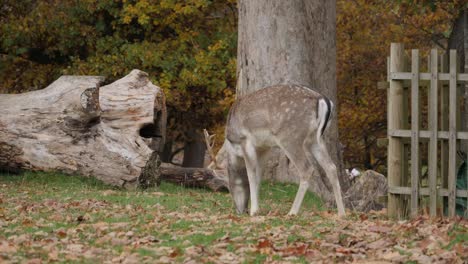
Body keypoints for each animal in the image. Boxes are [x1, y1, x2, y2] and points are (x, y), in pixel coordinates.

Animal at [225, 84, 346, 217]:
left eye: (229, 187)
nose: (241, 211)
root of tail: (323, 100)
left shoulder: (245, 141)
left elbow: (251, 175)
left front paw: (254, 211)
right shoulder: (264, 147)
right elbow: (258, 176)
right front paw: (257, 209)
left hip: (289, 137)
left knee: (307, 169)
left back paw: (292, 212)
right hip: (316, 139)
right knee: (331, 167)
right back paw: (341, 213)